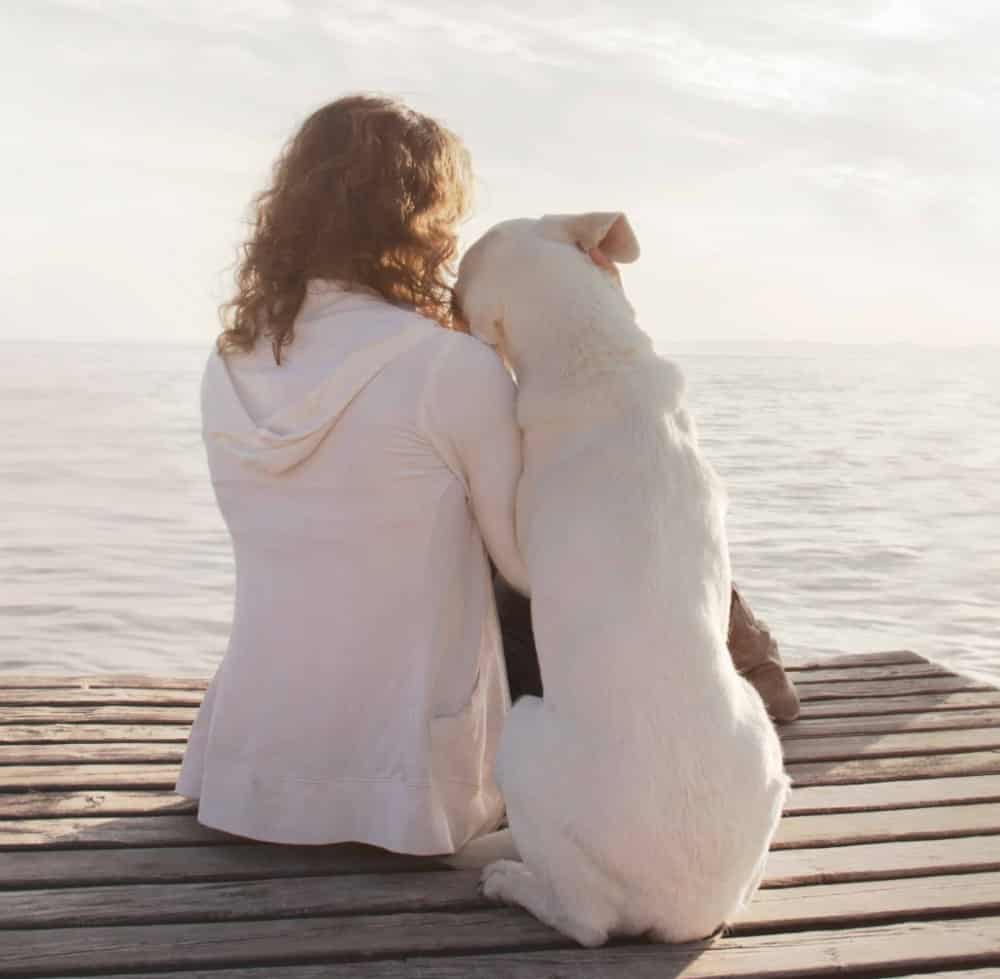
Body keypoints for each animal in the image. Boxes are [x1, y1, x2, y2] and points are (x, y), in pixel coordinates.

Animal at [452, 214, 788, 948]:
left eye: (461, 274)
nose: (446, 295)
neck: (594, 354)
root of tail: (678, 912)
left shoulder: (520, 552)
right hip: (767, 751)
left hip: (522, 734)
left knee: (585, 924)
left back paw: (514, 882)